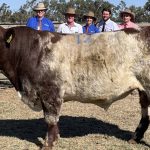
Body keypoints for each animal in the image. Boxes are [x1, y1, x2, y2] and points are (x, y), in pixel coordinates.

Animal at [0, 25, 150, 149]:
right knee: (145, 113)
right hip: (143, 91)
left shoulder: (50, 92)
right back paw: (134, 138)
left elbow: (50, 119)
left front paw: (48, 144)